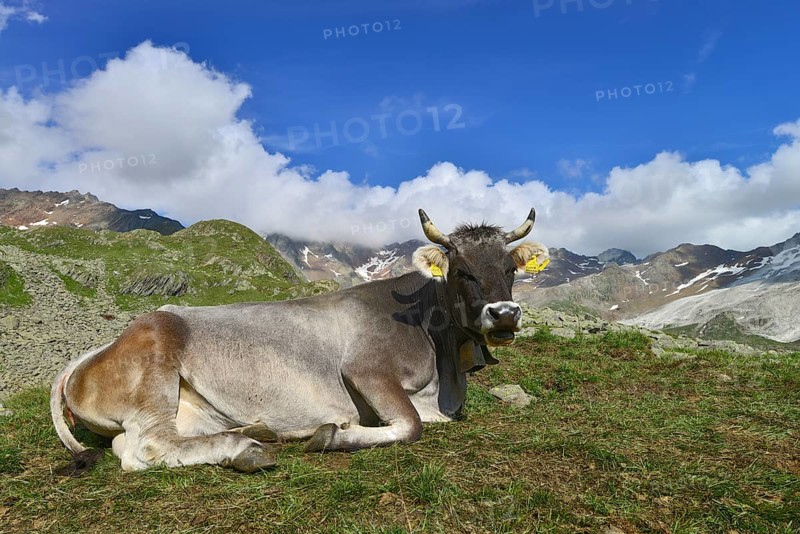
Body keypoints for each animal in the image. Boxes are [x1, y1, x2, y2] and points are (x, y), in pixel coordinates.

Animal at [50, 209, 548, 472]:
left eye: (511, 269)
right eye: (462, 270)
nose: (504, 315)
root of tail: (101, 347)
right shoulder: (365, 369)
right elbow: (410, 425)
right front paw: (332, 435)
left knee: (137, 446)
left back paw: (256, 431)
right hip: (156, 361)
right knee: (147, 447)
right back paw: (248, 450)